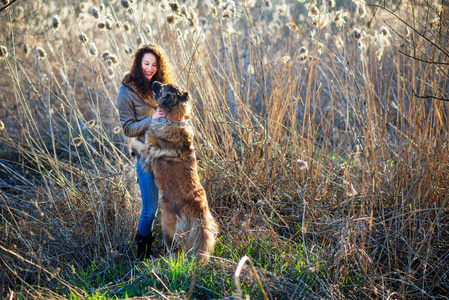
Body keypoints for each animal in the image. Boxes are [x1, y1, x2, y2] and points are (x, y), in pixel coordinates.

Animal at [130, 81, 218, 258]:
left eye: (162, 88)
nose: (154, 82)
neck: (173, 119)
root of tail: (199, 212)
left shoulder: (148, 152)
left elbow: (137, 143)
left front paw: (132, 145)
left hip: (168, 223)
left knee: (174, 246)